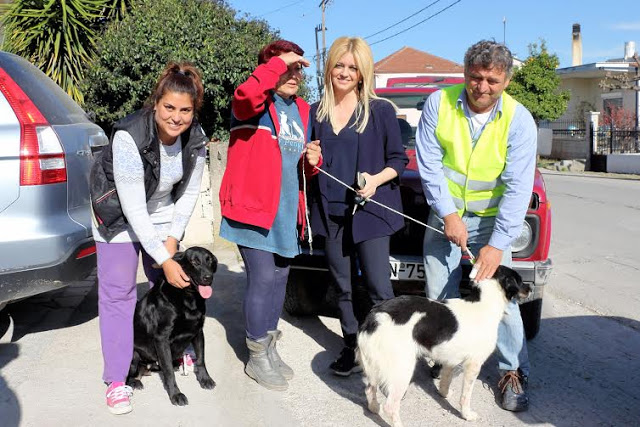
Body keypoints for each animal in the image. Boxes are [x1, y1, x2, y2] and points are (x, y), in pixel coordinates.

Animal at [126, 246, 219, 406]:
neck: (188, 297)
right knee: (128, 375)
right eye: (194, 262)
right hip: (133, 355)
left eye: (210, 261)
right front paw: (176, 394)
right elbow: (168, 371)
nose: (208, 278)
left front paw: (205, 379)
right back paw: (134, 382)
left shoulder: (198, 332)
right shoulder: (161, 338)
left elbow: (201, 359)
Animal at [360, 266, 528, 426]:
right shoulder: (473, 365)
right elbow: (465, 396)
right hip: (402, 370)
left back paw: (374, 408)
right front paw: (466, 414)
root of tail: (375, 316)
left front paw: (444, 394)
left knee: (369, 390)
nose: (530, 288)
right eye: (519, 280)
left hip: (375, 366)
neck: (483, 304)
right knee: (390, 406)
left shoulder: (449, 359)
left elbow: (446, 379)